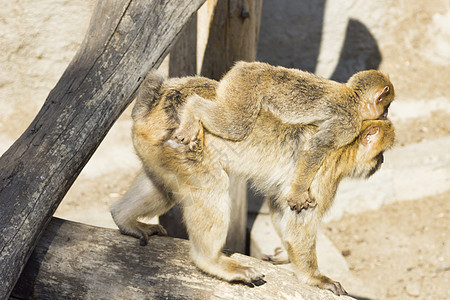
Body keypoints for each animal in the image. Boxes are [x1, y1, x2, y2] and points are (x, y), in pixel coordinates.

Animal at [169, 61, 394, 212]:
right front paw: (298, 192)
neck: (354, 99)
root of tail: (246, 66)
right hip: (244, 87)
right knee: (236, 125)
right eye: (386, 107)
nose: (385, 114)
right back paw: (192, 108)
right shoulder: (348, 122)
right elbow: (317, 146)